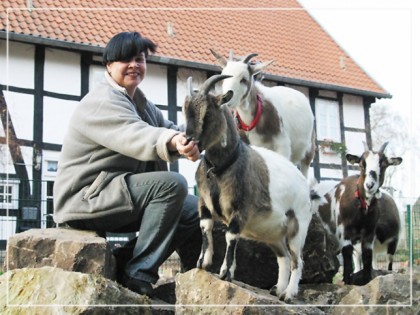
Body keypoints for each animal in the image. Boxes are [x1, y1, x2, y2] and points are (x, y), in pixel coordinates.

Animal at [184, 74, 316, 302]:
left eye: (208, 112)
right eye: (186, 110)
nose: (188, 141)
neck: (221, 168)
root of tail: (303, 182)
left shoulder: (240, 210)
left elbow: (230, 237)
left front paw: (225, 273)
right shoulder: (204, 204)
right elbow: (205, 228)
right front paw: (203, 263)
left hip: (298, 225)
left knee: (297, 260)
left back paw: (288, 294)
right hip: (273, 233)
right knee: (283, 257)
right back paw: (278, 289)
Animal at [316, 142, 402, 286]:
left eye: (383, 164)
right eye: (362, 163)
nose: (369, 185)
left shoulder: (369, 234)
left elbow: (367, 259)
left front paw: (366, 280)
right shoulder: (344, 233)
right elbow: (347, 260)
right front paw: (347, 282)